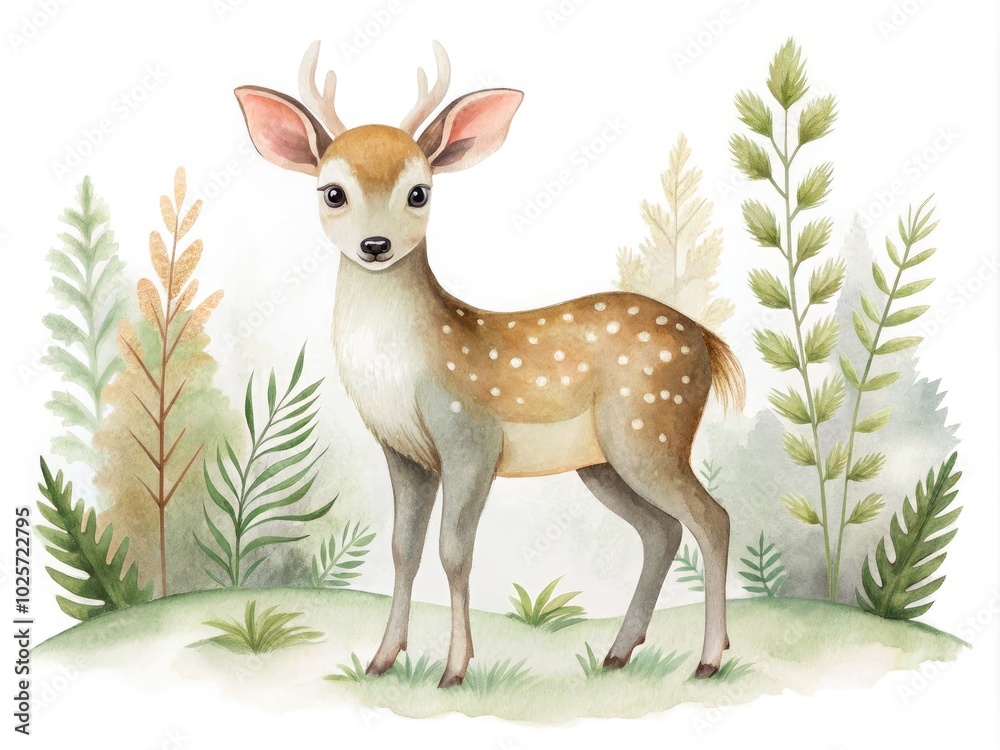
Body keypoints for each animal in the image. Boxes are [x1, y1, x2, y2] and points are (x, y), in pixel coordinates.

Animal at [234, 40, 745, 688]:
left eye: (419, 191)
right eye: (333, 191)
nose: (375, 245)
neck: (404, 371)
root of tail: (705, 340)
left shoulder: (469, 433)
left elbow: (454, 551)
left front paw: (454, 670)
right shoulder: (403, 453)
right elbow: (403, 550)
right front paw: (381, 659)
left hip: (650, 426)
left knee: (712, 519)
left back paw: (708, 659)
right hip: (602, 459)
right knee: (663, 530)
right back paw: (618, 652)